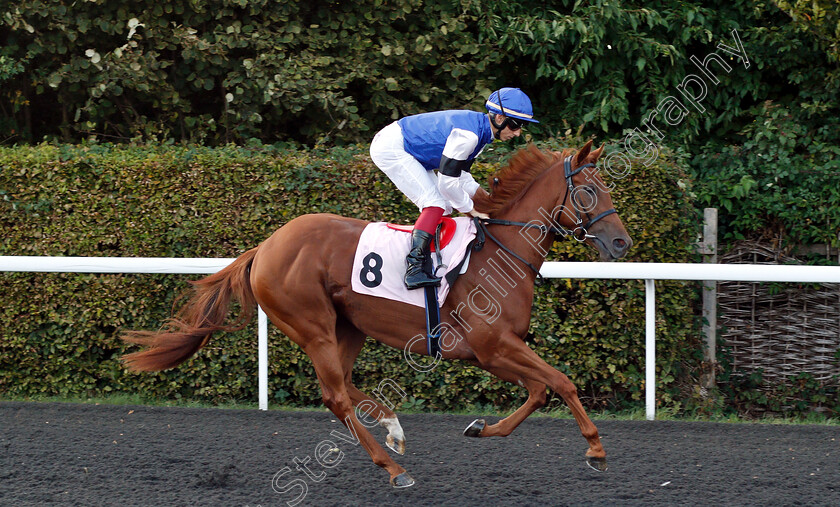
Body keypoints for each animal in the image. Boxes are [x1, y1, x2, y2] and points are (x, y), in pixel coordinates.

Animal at [120, 139, 632, 488]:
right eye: (588, 191)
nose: (622, 243)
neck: (500, 253)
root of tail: (265, 246)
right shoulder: (491, 348)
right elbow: (560, 383)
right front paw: (596, 449)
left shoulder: (499, 350)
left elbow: (540, 391)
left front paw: (481, 427)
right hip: (313, 326)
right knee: (335, 396)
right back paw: (393, 467)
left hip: (348, 327)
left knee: (343, 386)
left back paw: (392, 428)